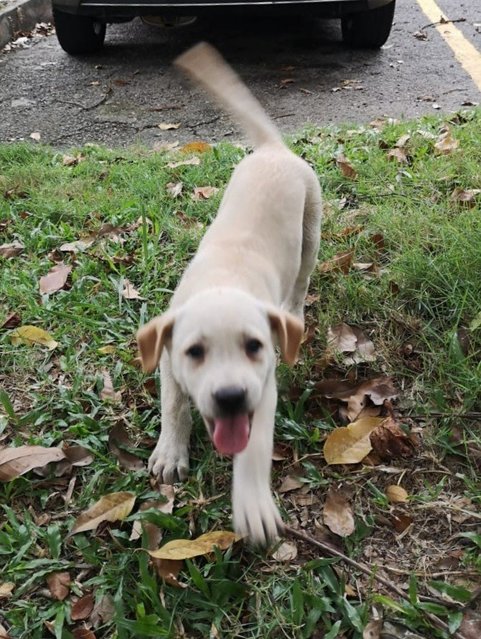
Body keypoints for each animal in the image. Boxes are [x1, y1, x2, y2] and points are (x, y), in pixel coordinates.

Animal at [137, 42, 320, 548]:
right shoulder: (167, 359)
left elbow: (254, 445)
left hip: (312, 227)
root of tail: (273, 149)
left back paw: (296, 311)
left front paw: (253, 504)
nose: (232, 398)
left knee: (301, 281)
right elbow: (173, 405)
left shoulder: (266, 384)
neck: (224, 281)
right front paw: (170, 451)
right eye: (194, 352)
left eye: (254, 346)